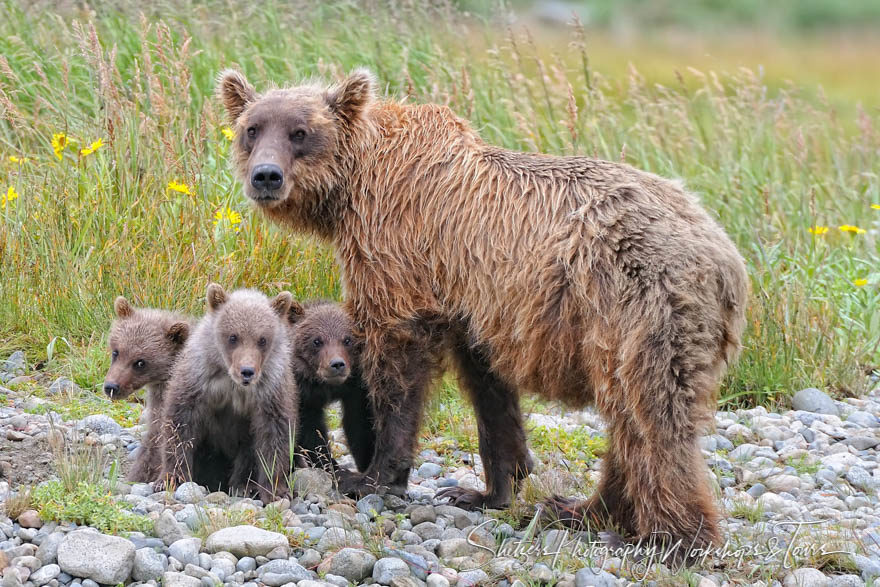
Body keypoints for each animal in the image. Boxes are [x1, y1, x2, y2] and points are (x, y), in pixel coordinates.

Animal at [156, 284, 298, 500]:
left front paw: (276, 489)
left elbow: (274, 435)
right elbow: (180, 425)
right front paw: (171, 478)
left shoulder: (270, 389)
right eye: (233, 337)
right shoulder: (199, 379)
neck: (231, 381)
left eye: (262, 340)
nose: (247, 371)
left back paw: (244, 485)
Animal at [288, 300, 372, 476]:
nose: (337, 364)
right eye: (317, 341)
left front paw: (366, 463)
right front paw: (331, 466)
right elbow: (311, 431)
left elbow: (358, 423)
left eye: (347, 340)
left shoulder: (355, 389)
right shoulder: (303, 395)